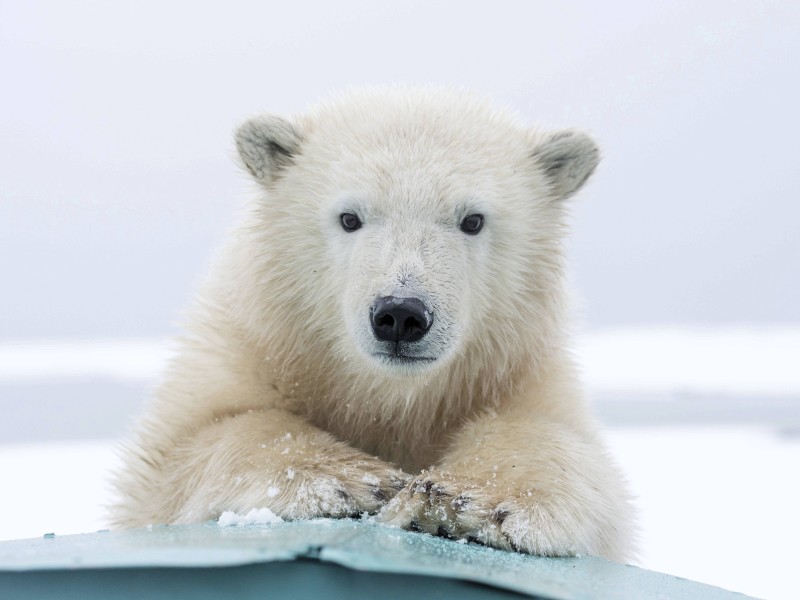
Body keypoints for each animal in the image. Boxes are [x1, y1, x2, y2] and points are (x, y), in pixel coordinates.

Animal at [114, 85, 636, 564]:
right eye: (350, 217)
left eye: (473, 220)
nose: (401, 315)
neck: (390, 397)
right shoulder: (247, 348)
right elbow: (191, 448)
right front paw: (356, 481)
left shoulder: (519, 373)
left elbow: (554, 446)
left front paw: (464, 500)